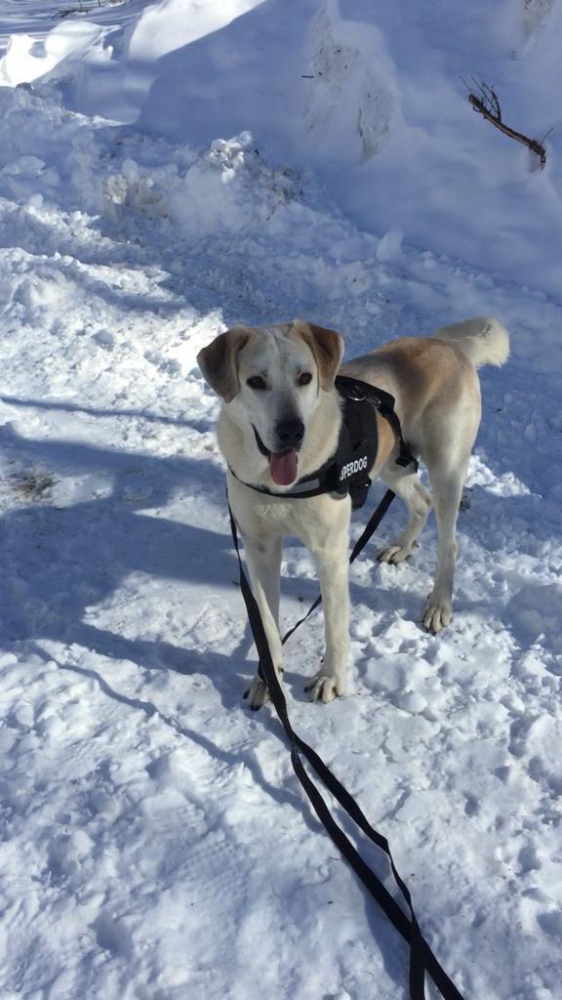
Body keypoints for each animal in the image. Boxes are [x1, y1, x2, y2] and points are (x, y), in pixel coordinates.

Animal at [196, 316, 508, 708]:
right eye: (256, 381)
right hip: (391, 464)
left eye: (305, 377)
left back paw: (439, 604)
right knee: (421, 501)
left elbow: (334, 623)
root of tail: (450, 347)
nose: (292, 432)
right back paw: (401, 547)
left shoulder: (330, 551)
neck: (280, 481)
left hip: (447, 466)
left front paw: (331, 679)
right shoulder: (259, 548)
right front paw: (269, 679)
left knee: (448, 541)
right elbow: (266, 626)